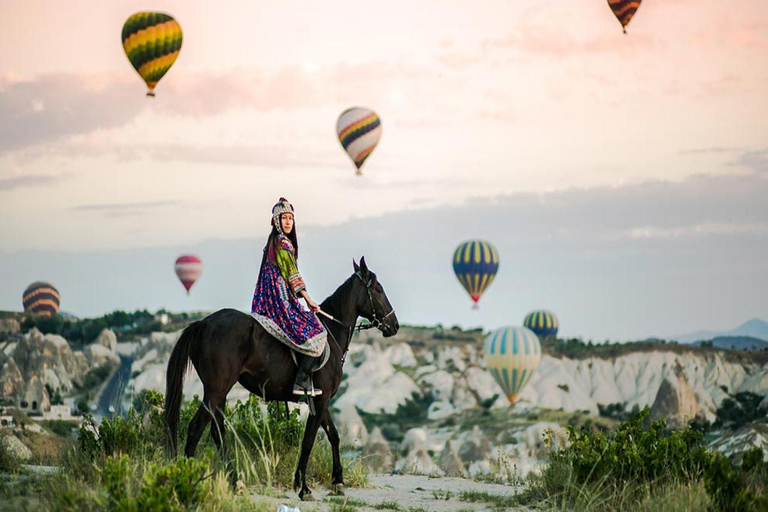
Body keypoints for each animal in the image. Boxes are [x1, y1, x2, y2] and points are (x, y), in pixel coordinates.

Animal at [164, 258, 400, 498]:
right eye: (378, 289)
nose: (395, 325)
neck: (332, 336)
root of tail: (203, 323)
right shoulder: (322, 400)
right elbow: (308, 441)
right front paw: (303, 487)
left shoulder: (320, 401)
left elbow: (333, 435)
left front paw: (338, 481)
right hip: (216, 390)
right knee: (196, 428)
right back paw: (190, 479)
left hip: (219, 392)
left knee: (217, 431)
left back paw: (235, 481)